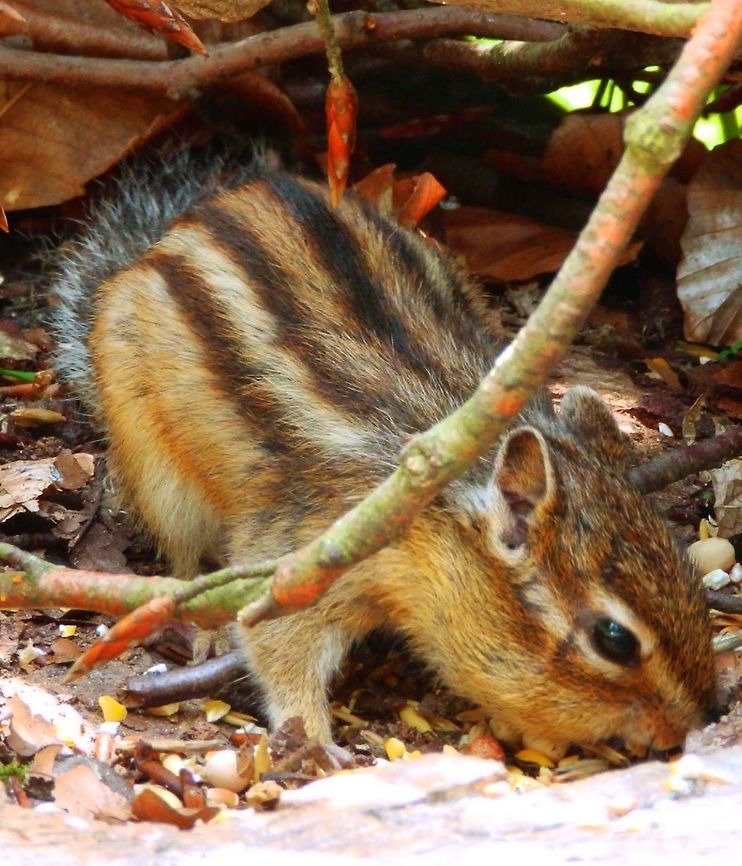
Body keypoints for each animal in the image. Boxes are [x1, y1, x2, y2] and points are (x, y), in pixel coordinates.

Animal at [49, 150, 717, 749]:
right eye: (614, 639)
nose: (693, 724)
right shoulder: (304, 554)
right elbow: (277, 646)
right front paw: (316, 740)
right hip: (157, 470)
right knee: (184, 560)